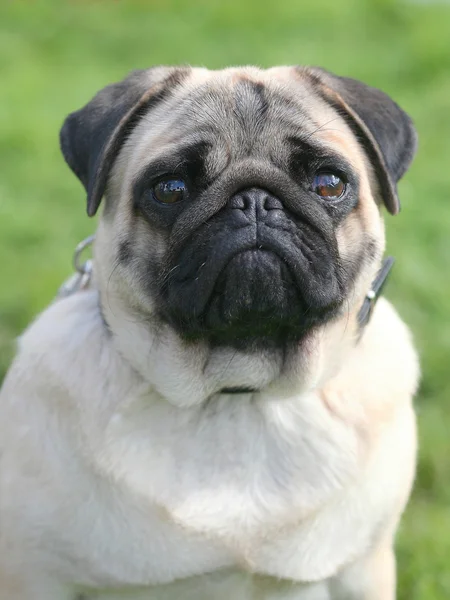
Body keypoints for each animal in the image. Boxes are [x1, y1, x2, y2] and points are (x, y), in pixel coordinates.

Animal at [0, 65, 418, 600]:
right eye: (171, 189)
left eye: (328, 183)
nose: (255, 200)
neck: (238, 391)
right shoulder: (36, 574)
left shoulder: (362, 571)